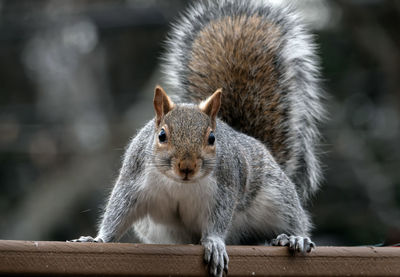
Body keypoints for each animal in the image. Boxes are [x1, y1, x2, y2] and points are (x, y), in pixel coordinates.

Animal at [70, 1, 324, 274]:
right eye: (161, 135)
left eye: (212, 139)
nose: (187, 167)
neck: (180, 185)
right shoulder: (133, 182)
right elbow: (117, 214)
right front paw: (97, 239)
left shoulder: (225, 188)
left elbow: (217, 222)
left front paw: (214, 244)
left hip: (277, 196)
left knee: (294, 218)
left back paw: (294, 238)